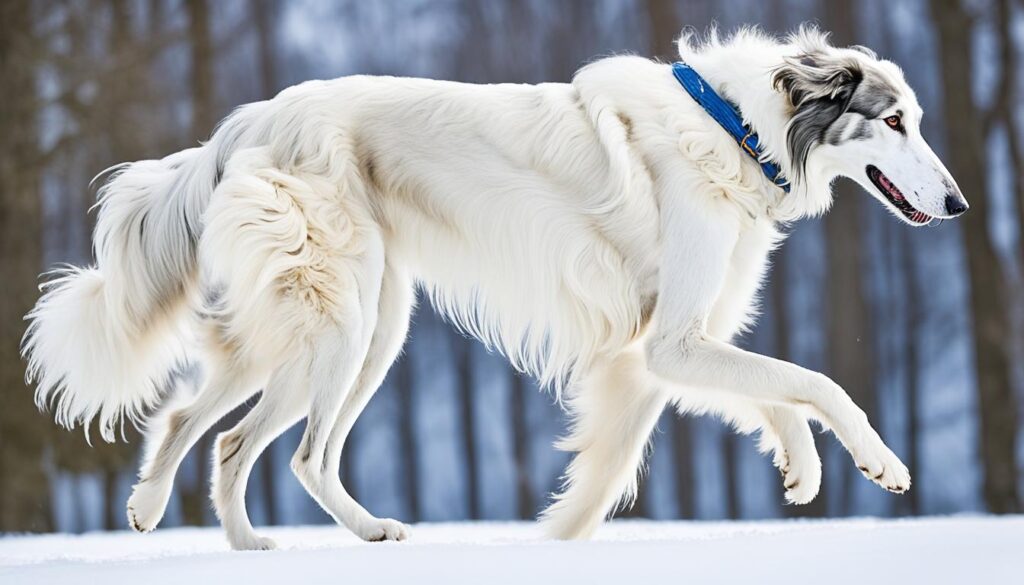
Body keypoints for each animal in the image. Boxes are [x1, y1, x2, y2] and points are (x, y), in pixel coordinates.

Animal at [24, 26, 966, 549]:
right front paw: (880, 463)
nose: (959, 205)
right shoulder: (669, 342)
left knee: (208, 427)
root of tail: (248, 121)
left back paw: (211, 529)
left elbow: (770, 394)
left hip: (350, 331)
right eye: (894, 120)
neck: (736, 126)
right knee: (288, 449)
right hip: (342, 327)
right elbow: (815, 383)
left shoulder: (663, 346)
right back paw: (347, 530)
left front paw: (802, 468)